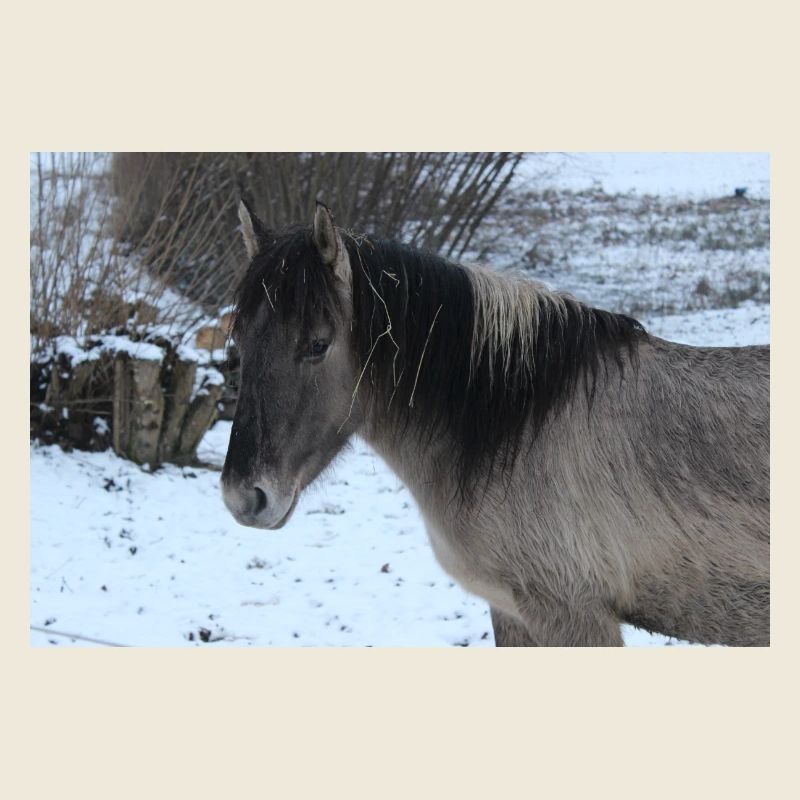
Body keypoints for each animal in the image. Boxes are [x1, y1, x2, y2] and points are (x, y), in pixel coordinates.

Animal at [221, 200, 770, 646]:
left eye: (317, 344)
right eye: (240, 339)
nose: (244, 498)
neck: (521, 429)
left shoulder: (574, 616)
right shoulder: (512, 612)